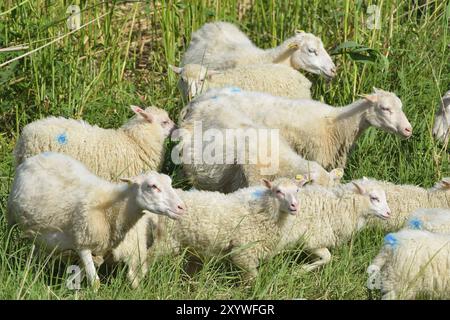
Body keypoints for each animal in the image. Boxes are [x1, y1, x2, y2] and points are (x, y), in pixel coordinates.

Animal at [5, 152, 185, 288]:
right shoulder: (83, 242)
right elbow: (95, 282)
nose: (181, 207)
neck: (113, 208)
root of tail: (37, 157)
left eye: (169, 183)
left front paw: (66, 286)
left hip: (38, 229)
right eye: (152, 186)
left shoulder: (99, 248)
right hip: (11, 214)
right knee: (8, 237)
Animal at [180, 86, 412, 169]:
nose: (409, 130)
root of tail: (197, 100)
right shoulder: (318, 156)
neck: (337, 124)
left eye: (401, 106)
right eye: (385, 108)